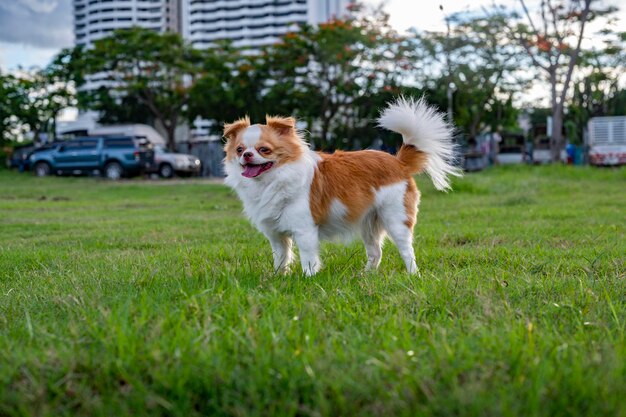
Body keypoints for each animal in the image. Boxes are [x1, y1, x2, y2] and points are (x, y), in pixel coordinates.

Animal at [222, 96, 456, 274]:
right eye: (240, 150)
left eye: (264, 150)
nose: (247, 155)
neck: (272, 180)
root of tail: (398, 162)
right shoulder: (276, 235)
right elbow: (281, 257)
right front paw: (278, 277)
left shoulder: (305, 230)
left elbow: (308, 258)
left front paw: (308, 279)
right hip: (368, 223)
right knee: (375, 252)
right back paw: (366, 276)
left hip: (396, 218)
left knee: (407, 251)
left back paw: (412, 275)